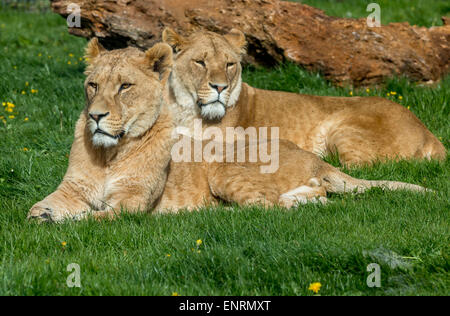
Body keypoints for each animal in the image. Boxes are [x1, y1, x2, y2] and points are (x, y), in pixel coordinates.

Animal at [28, 39, 428, 222]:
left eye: (125, 86)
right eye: (93, 85)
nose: (96, 116)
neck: (110, 152)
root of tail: (315, 159)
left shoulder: (133, 202)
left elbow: (94, 218)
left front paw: (61, 221)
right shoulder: (72, 189)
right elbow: (39, 206)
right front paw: (42, 214)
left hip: (225, 169)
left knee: (268, 206)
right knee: (314, 197)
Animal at [161, 28, 442, 165]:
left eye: (229, 64)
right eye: (200, 62)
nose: (220, 87)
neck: (186, 110)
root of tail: (428, 132)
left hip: (343, 128)